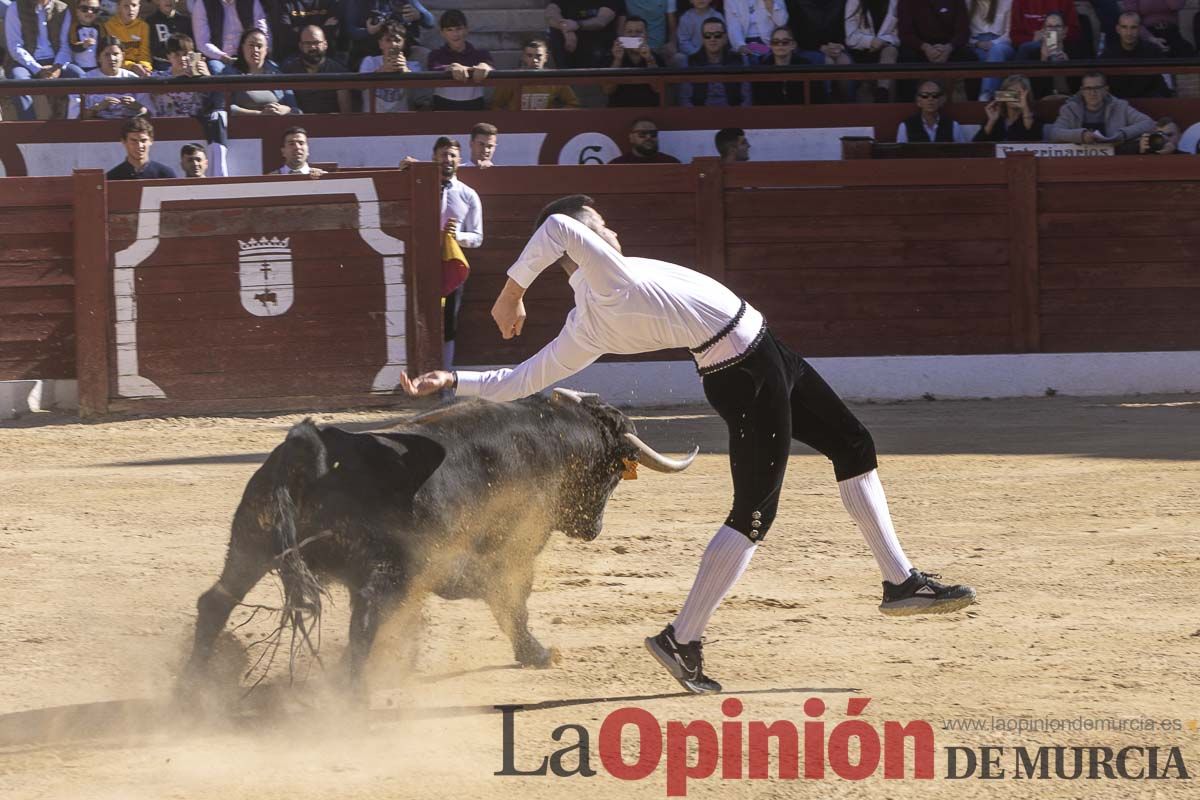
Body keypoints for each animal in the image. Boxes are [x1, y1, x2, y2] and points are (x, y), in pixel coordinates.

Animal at [182, 391, 700, 686]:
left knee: (215, 601)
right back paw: (352, 698)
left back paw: (190, 691)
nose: (594, 529)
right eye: (614, 473)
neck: (553, 437)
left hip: (249, 546)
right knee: (365, 620)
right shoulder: (514, 547)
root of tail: (308, 452)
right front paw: (535, 653)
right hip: (384, 570)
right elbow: (511, 597)